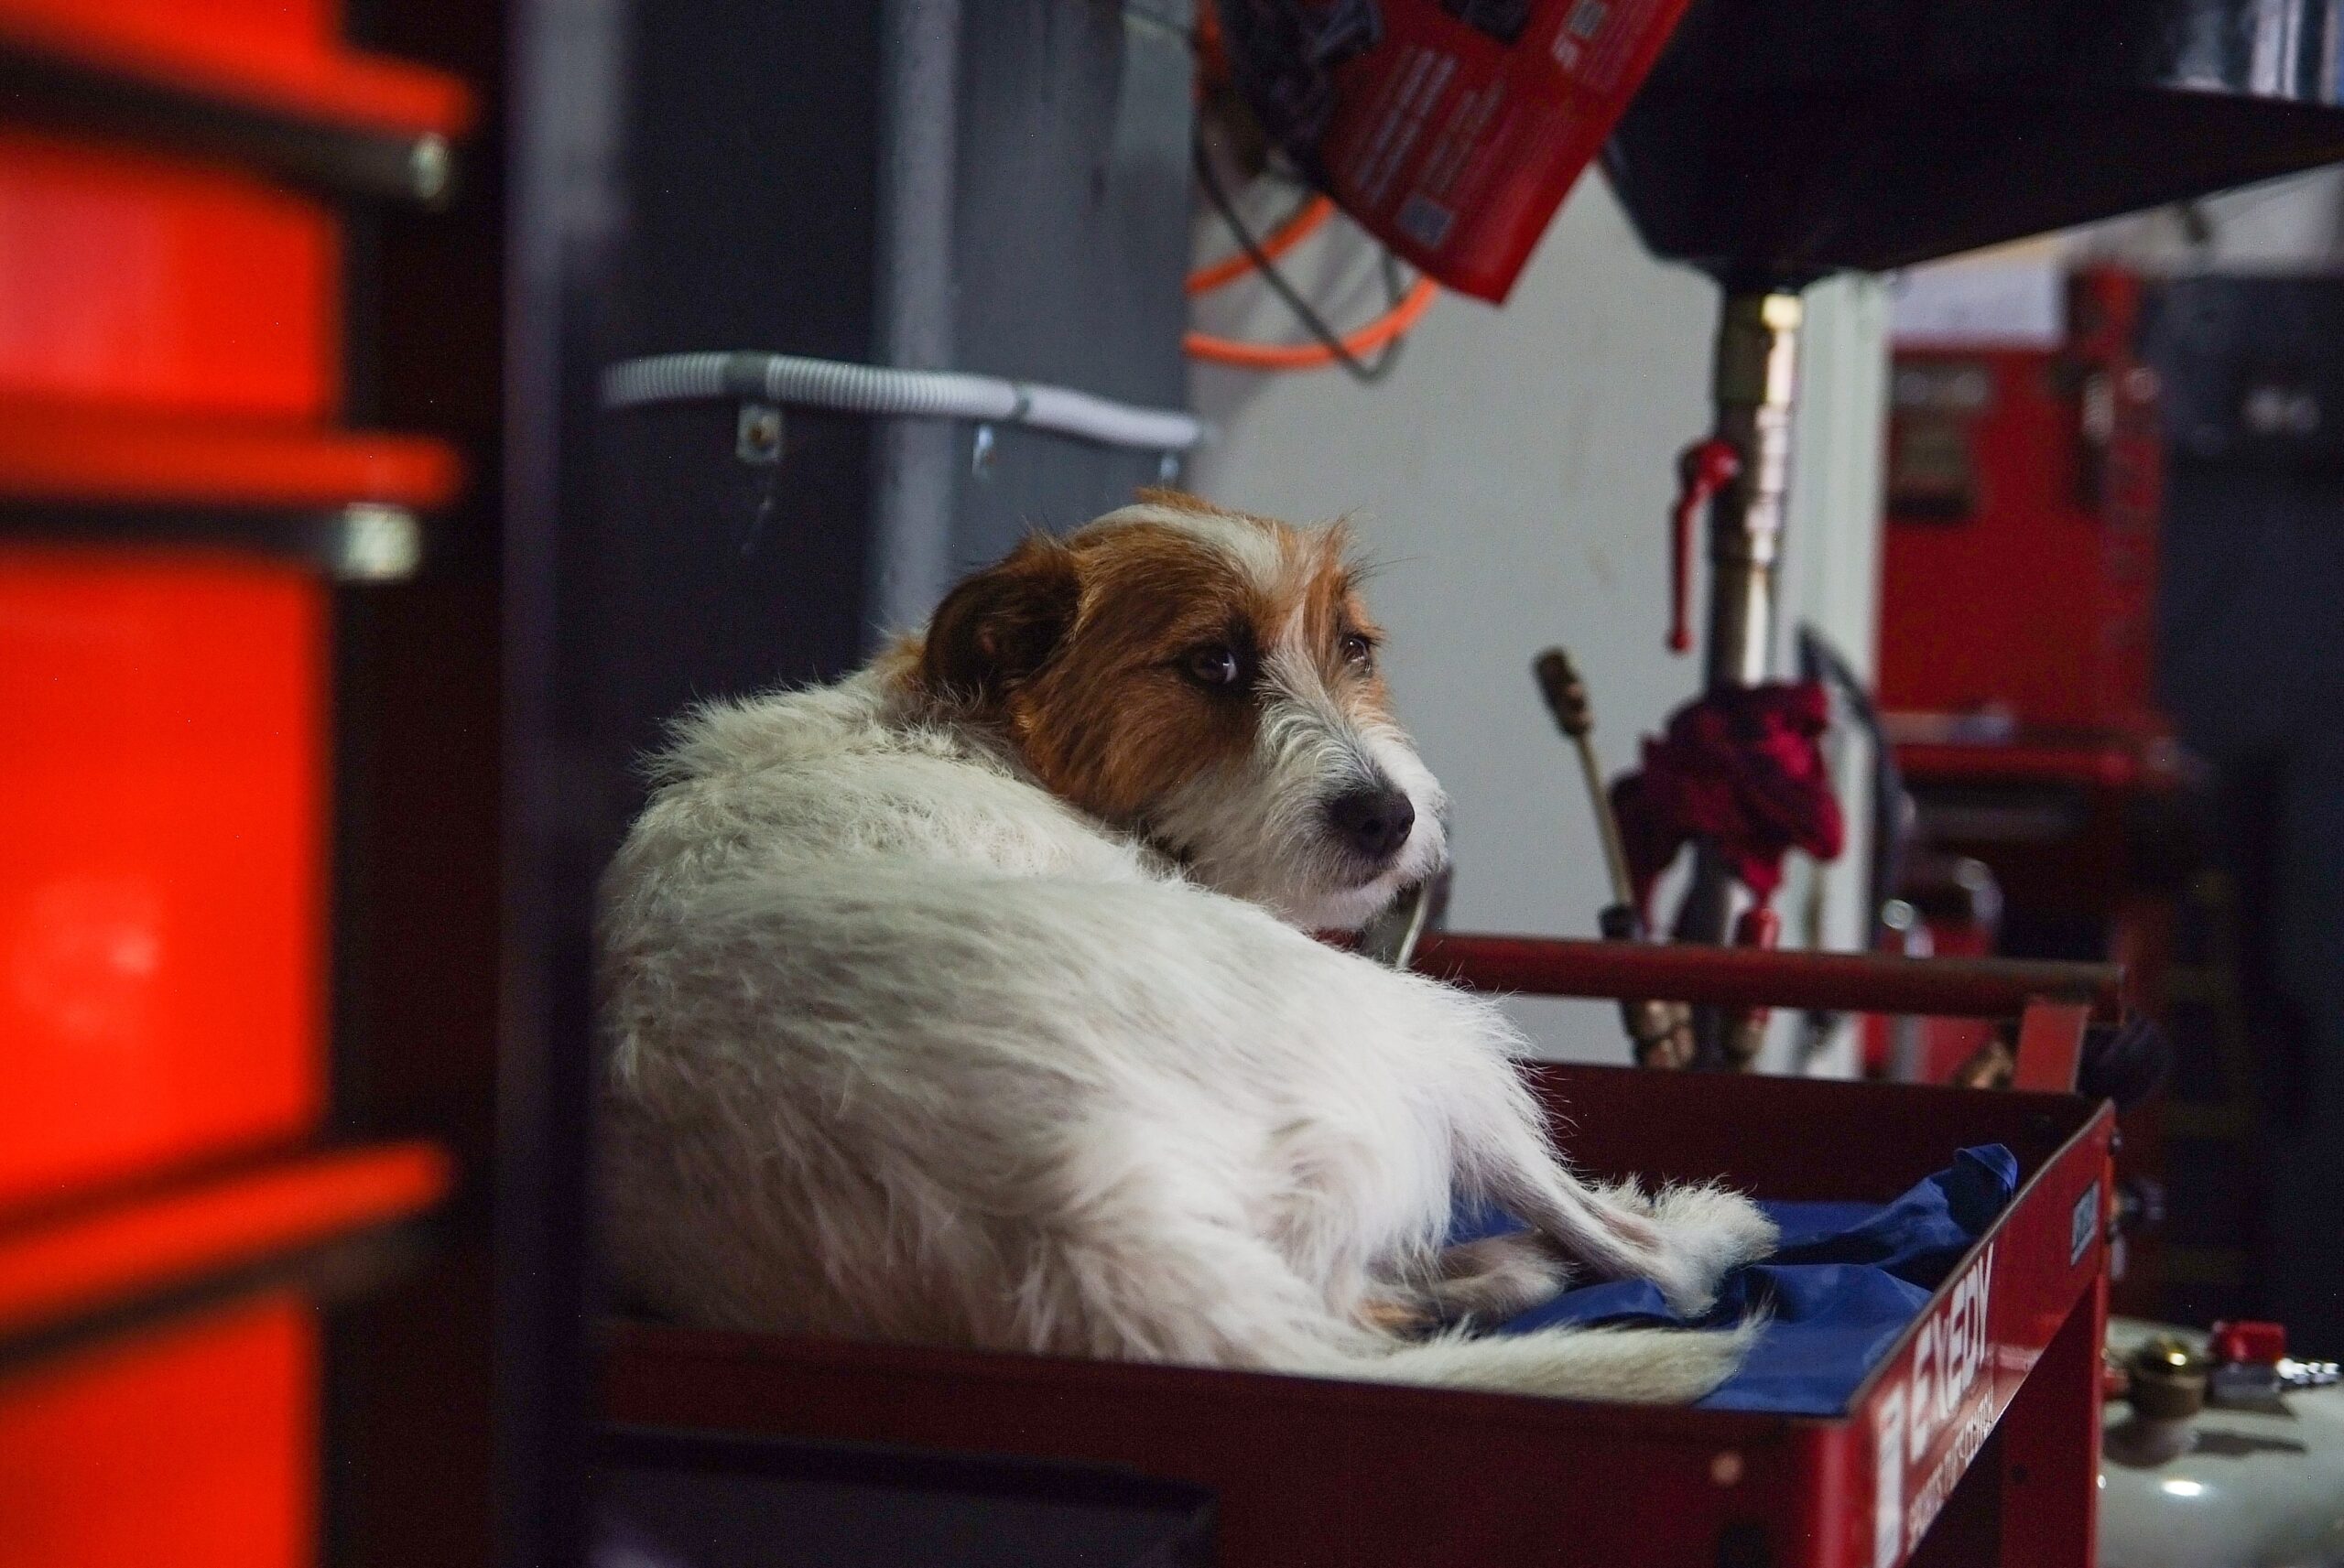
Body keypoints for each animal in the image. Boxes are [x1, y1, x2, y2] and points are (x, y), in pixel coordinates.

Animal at [595, 490, 1763, 1397]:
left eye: (1352, 647)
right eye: (1212, 663)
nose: (1390, 819)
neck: (977, 730)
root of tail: (1102, 1228)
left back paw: (1500, 1270)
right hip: (1430, 1034)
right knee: (1646, 1260)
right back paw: (1689, 1230)